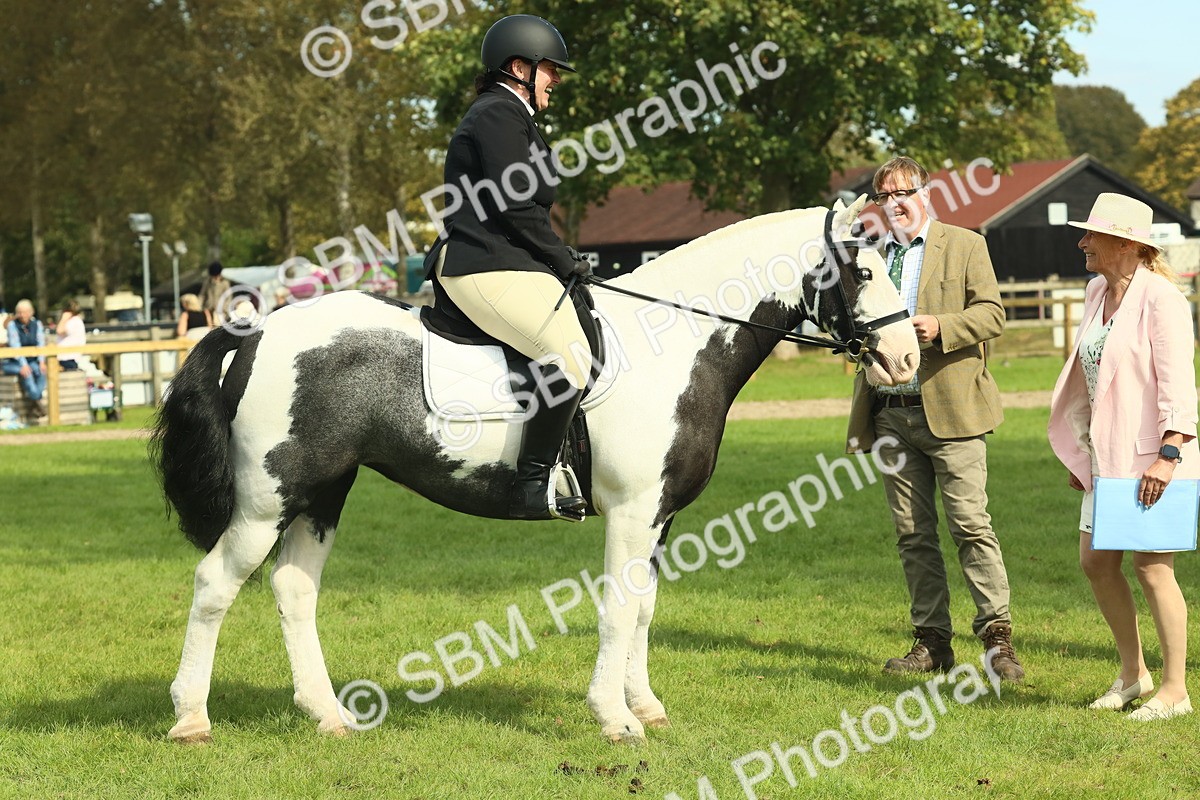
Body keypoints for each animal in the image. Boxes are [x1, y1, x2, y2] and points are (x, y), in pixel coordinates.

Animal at [153, 195, 920, 744]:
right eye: (864, 271)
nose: (908, 358)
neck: (678, 340)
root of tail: (257, 328)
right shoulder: (633, 511)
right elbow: (618, 609)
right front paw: (615, 719)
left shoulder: (661, 517)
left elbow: (644, 608)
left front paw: (645, 705)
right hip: (266, 500)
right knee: (215, 583)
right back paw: (191, 718)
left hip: (320, 492)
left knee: (292, 588)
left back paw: (328, 715)